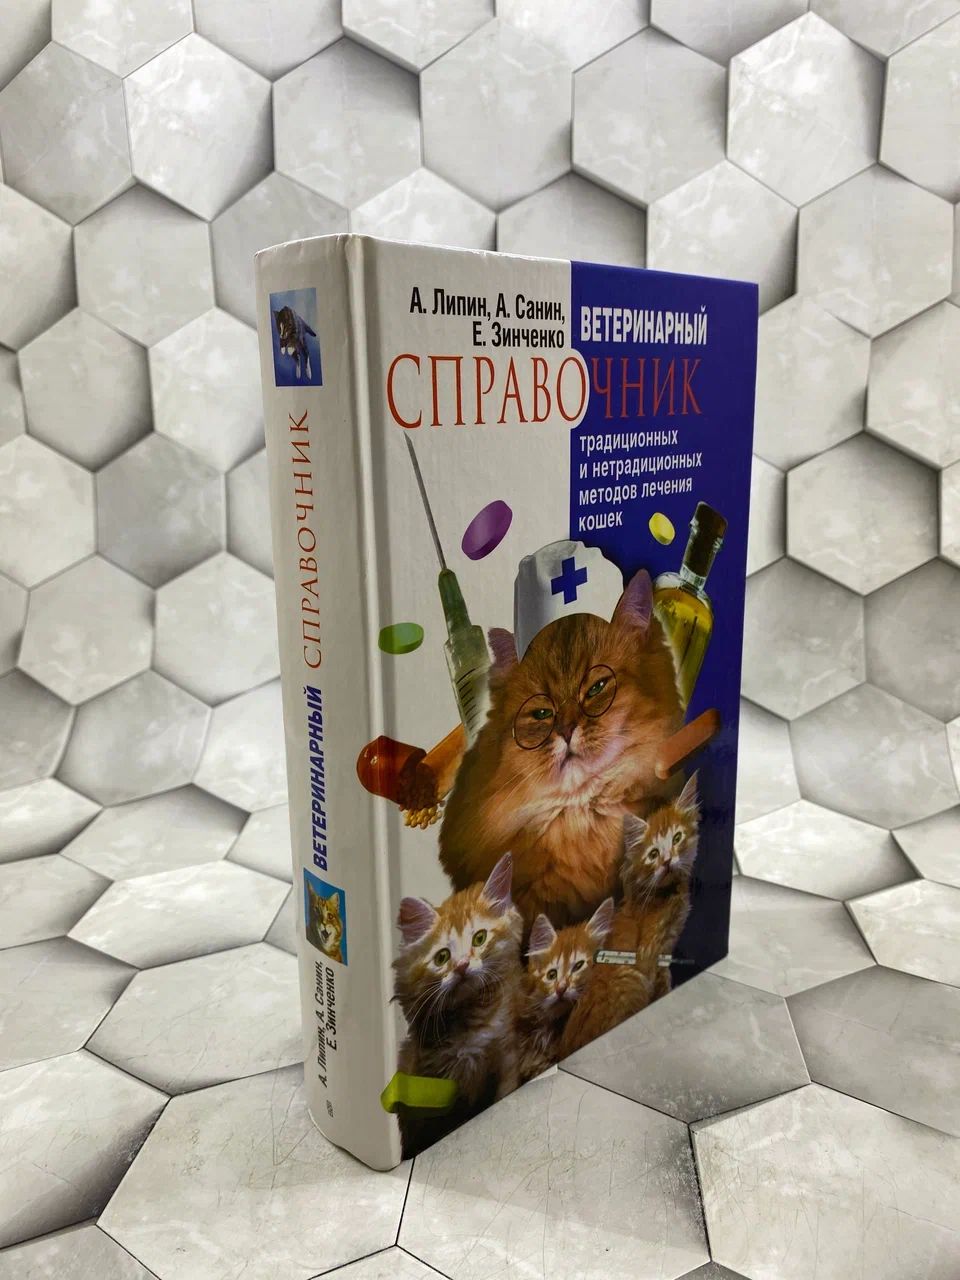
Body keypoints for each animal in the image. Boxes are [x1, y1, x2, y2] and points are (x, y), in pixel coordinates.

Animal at [392, 852, 523, 1157]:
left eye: (480, 938)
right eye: (442, 957)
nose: (462, 966)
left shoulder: (506, 1055)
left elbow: (504, 1090)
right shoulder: (431, 1079)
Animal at [559, 772, 700, 1058]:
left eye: (677, 838)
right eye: (653, 853)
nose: (667, 862)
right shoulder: (651, 954)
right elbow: (662, 981)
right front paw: (665, 994)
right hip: (630, 979)